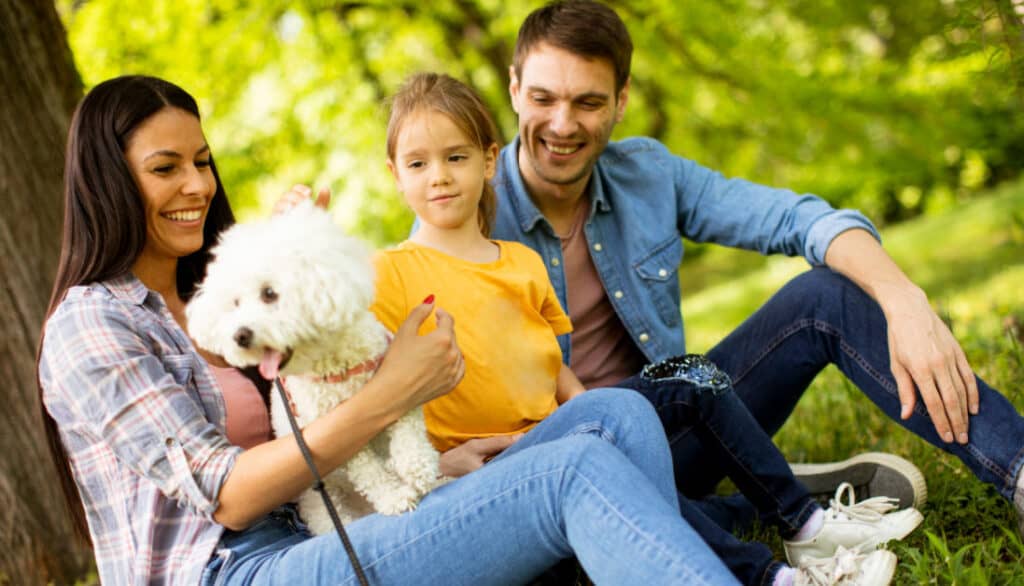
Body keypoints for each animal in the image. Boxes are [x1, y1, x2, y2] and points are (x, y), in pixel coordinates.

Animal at [188, 200, 444, 532]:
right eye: (235, 303)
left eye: (269, 293)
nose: (239, 335)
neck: (333, 364)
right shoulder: (337, 434)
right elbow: (369, 473)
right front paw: (394, 497)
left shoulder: (399, 386)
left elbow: (408, 430)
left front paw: (418, 469)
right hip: (322, 503)